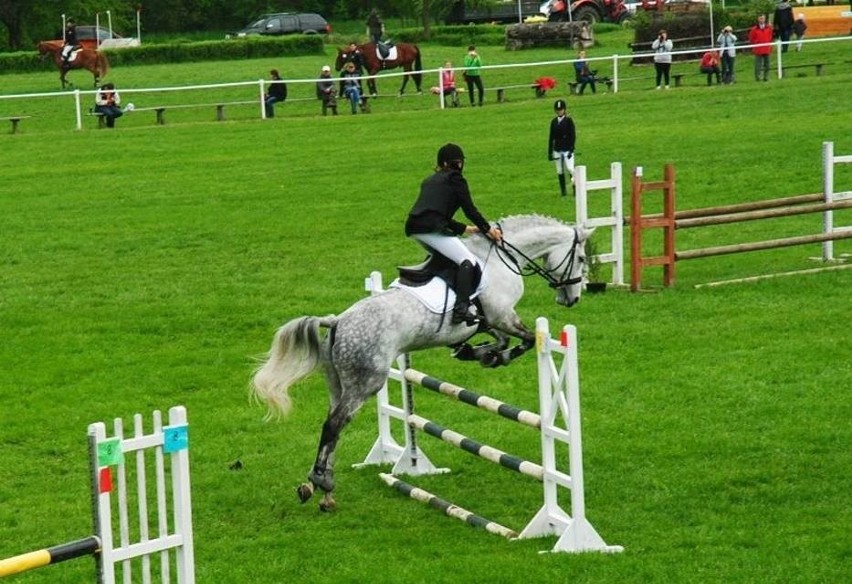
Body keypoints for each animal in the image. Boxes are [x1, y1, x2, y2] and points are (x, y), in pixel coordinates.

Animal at [250, 214, 588, 512]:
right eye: (583, 259)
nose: (571, 299)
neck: (498, 259)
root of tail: (338, 322)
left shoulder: (485, 323)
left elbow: (497, 338)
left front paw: (476, 353)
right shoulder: (501, 315)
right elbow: (526, 339)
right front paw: (492, 356)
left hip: (337, 382)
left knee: (333, 424)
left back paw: (319, 491)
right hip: (366, 382)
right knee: (334, 424)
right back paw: (321, 482)